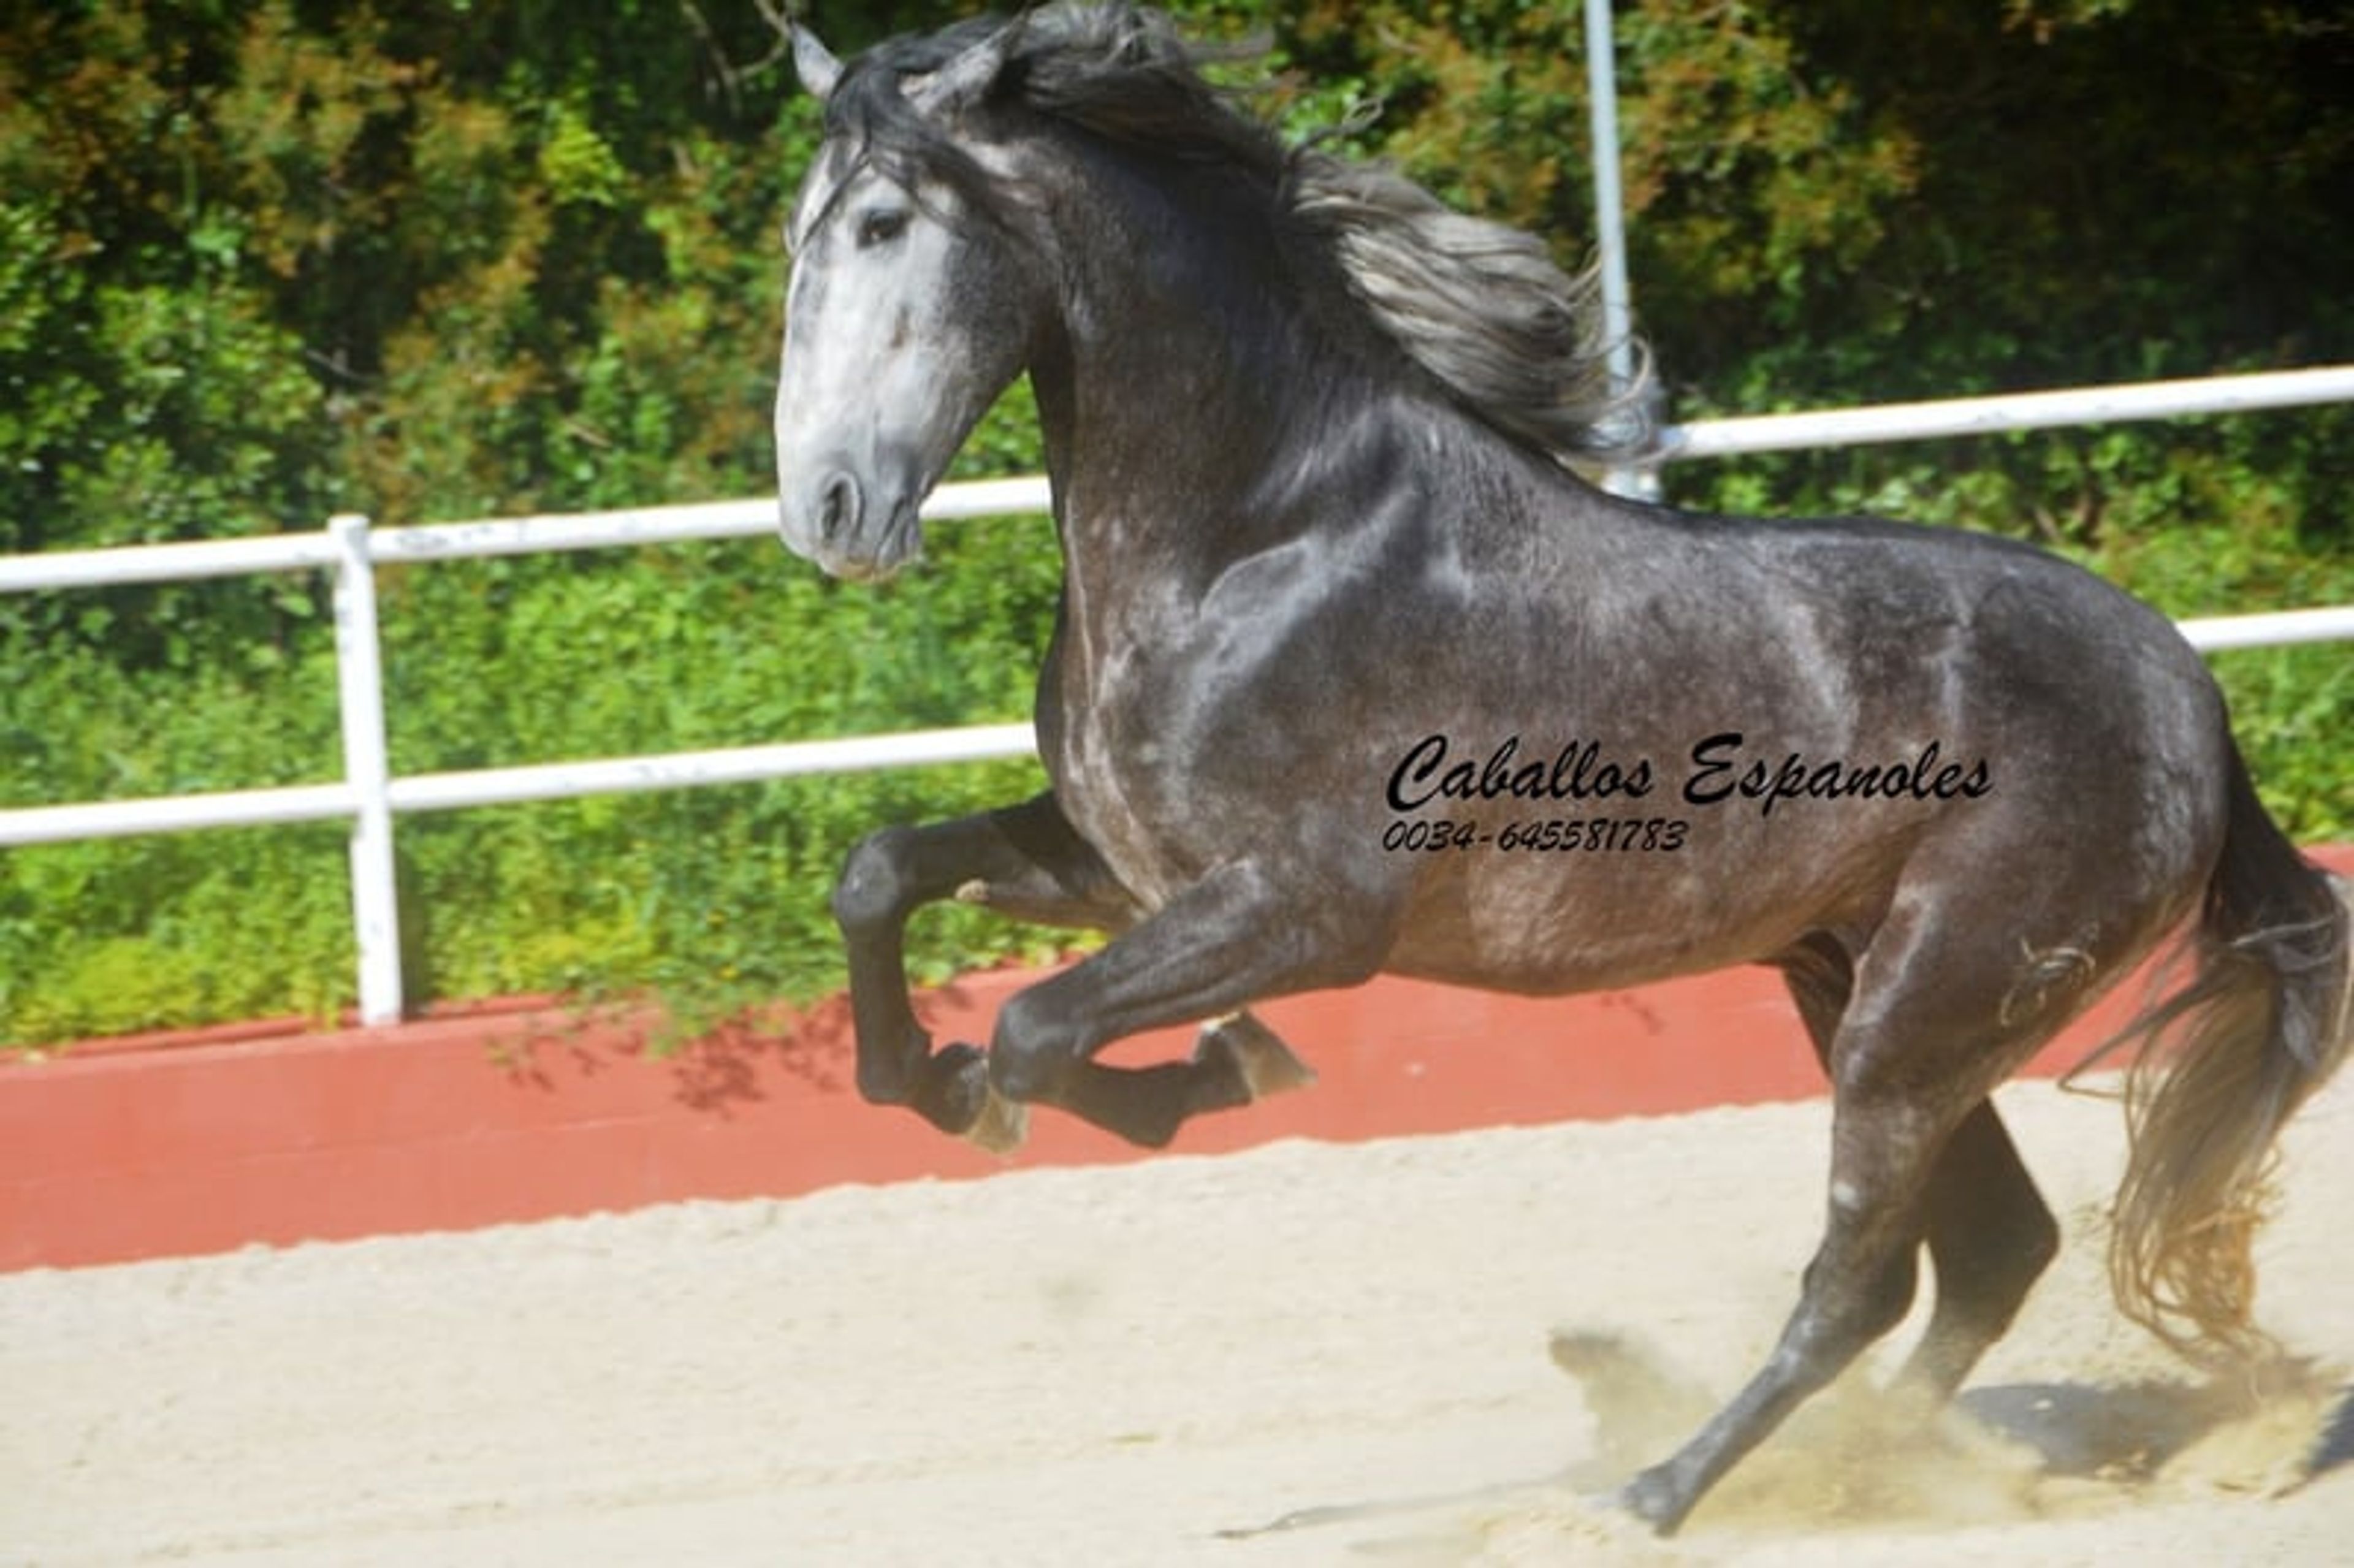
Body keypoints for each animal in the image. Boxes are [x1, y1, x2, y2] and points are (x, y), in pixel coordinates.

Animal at [770, 5, 2351, 1536]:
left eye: (882, 222)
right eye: (803, 226)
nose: (827, 512)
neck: (1261, 536)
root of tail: (2195, 699)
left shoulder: (1308, 912)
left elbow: (1038, 1028)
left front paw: (1194, 1073)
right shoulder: (1120, 861)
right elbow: (879, 877)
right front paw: (935, 1078)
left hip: (1925, 1014)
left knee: (1863, 1276)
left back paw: (1653, 1495)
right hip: (1857, 982)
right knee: (1984, 1253)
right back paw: (1874, 1469)